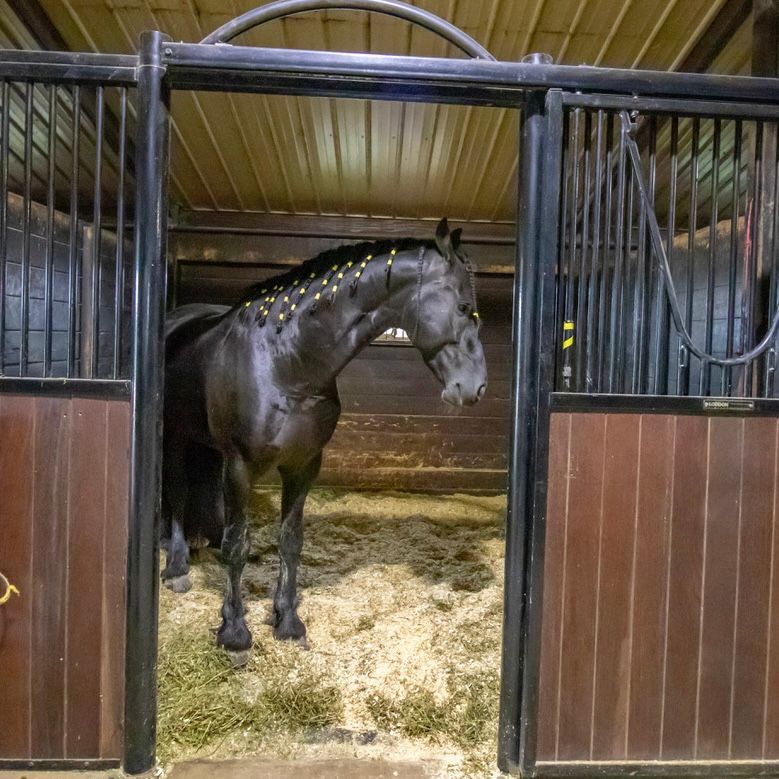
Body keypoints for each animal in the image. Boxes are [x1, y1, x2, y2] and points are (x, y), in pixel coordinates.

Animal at [161, 218, 488, 657]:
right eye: (462, 307)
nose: (475, 388)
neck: (286, 363)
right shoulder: (241, 465)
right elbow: (238, 545)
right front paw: (234, 632)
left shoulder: (304, 465)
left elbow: (290, 541)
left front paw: (287, 621)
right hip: (177, 437)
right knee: (177, 494)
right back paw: (177, 567)